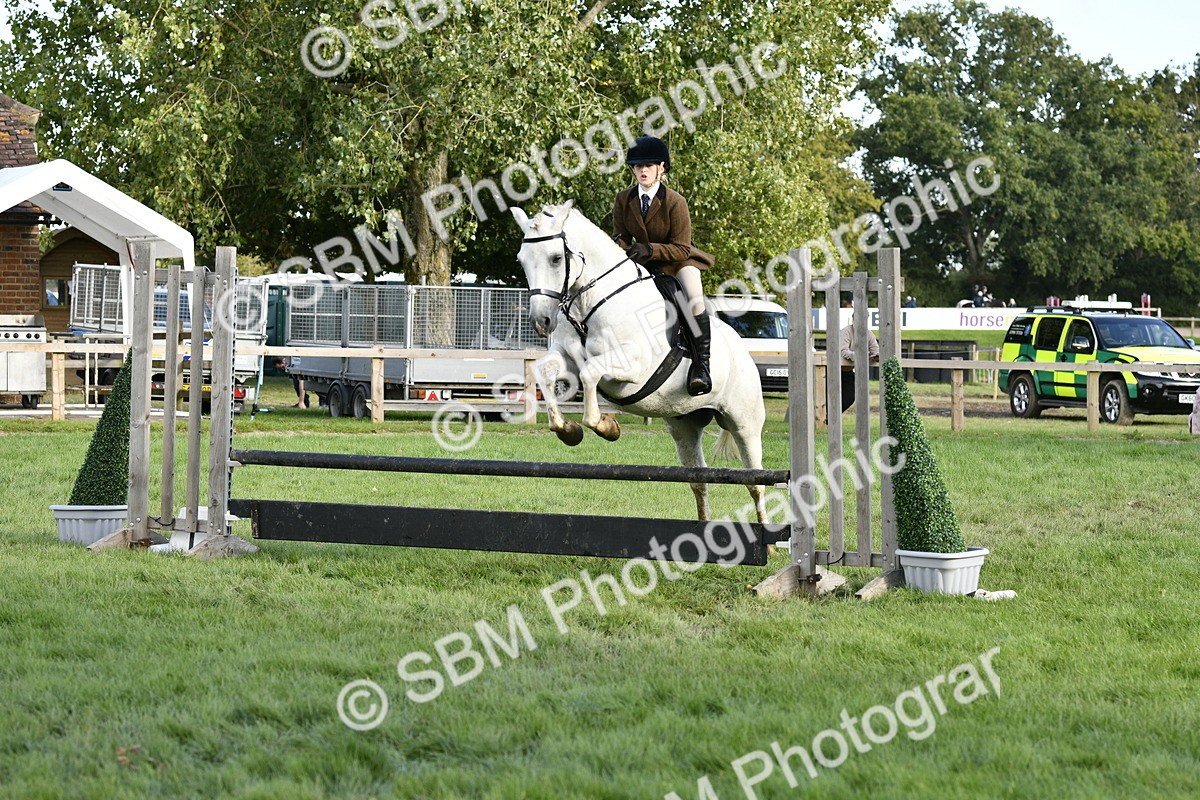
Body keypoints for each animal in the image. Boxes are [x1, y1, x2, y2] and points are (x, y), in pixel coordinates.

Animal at [511, 201, 767, 524]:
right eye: (522, 261)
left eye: (556, 258)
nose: (541, 322)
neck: (591, 300)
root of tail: (743, 351)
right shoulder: (568, 358)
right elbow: (545, 370)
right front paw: (568, 430)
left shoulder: (633, 366)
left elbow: (590, 373)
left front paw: (606, 426)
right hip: (684, 426)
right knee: (699, 481)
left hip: (744, 424)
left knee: (756, 484)